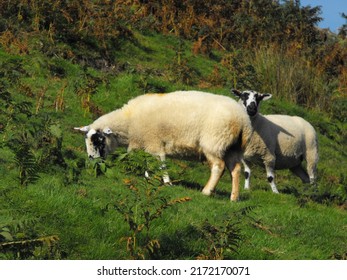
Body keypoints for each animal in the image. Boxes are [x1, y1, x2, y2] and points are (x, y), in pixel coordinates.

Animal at [75, 91, 253, 200]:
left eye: (99, 140)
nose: (91, 160)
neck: (129, 124)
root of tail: (242, 119)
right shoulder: (147, 144)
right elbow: (148, 162)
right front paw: (148, 177)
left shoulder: (154, 142)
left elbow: (160, 164)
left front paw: (167, 182)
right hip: (232, 147)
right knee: (236, 169)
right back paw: (234, 197)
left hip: (214, 142)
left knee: (218, 166)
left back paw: (206, 191)